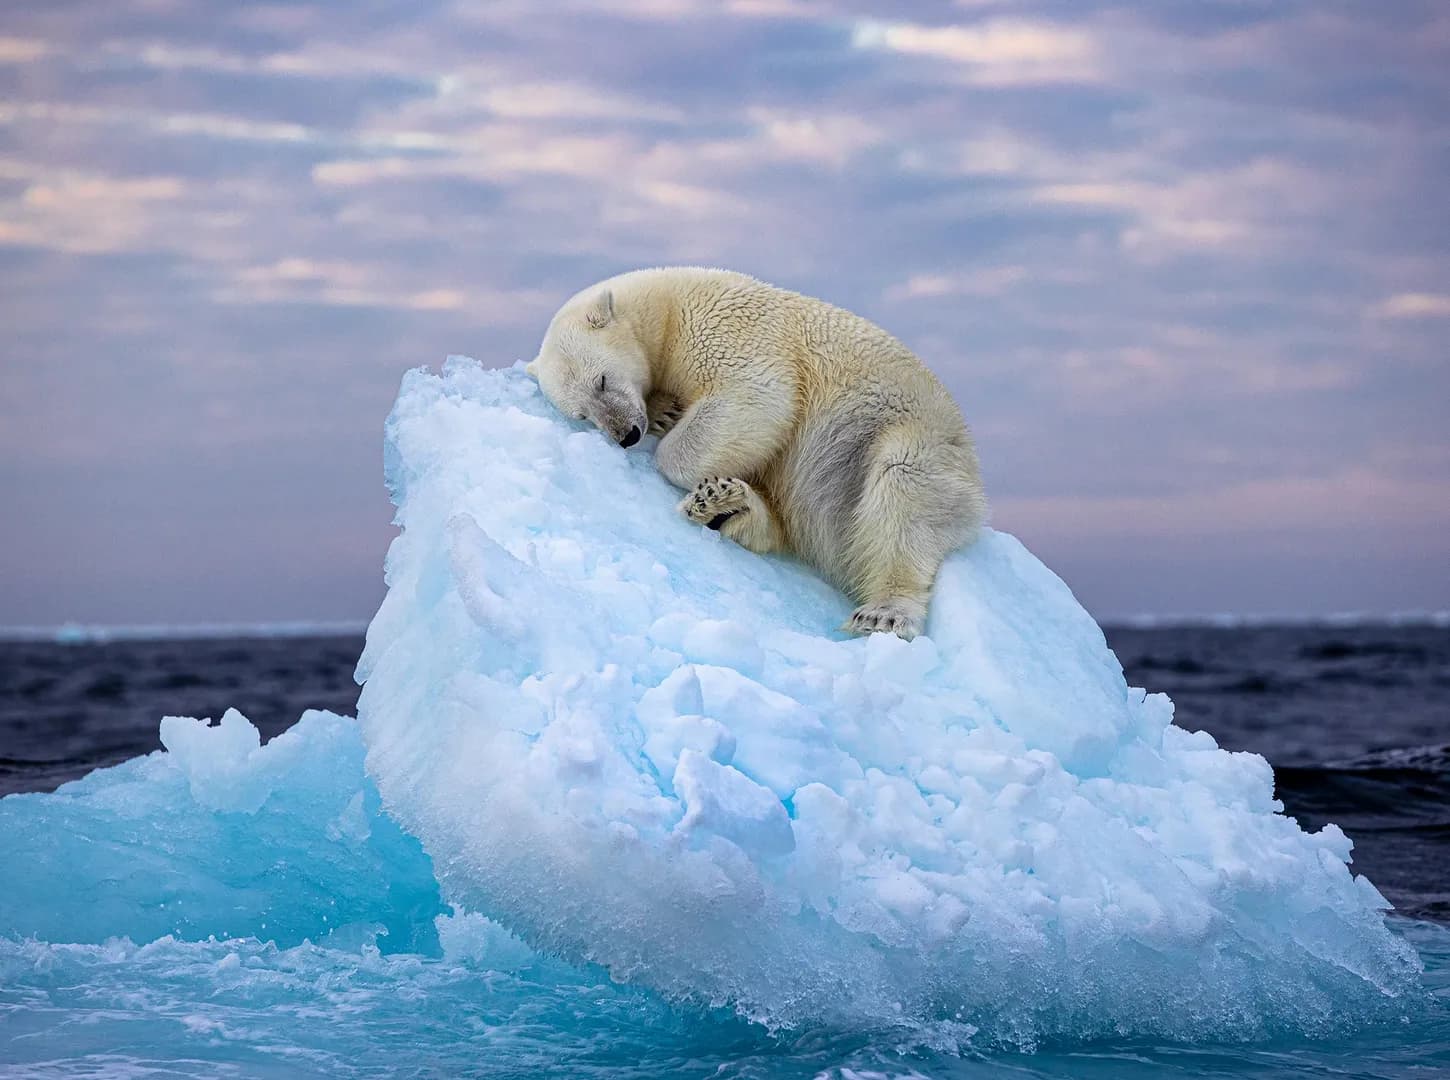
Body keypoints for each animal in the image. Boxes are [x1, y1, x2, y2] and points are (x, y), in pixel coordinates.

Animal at [527, 267, 987, 640]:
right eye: (582, 414)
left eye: (602, 380)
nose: (626, 434)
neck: (668, 307)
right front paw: (665, 412)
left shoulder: (727, 329)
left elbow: (757, 397)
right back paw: (726, 506)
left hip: (904, 437)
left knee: (902, 491)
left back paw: (884, 613)